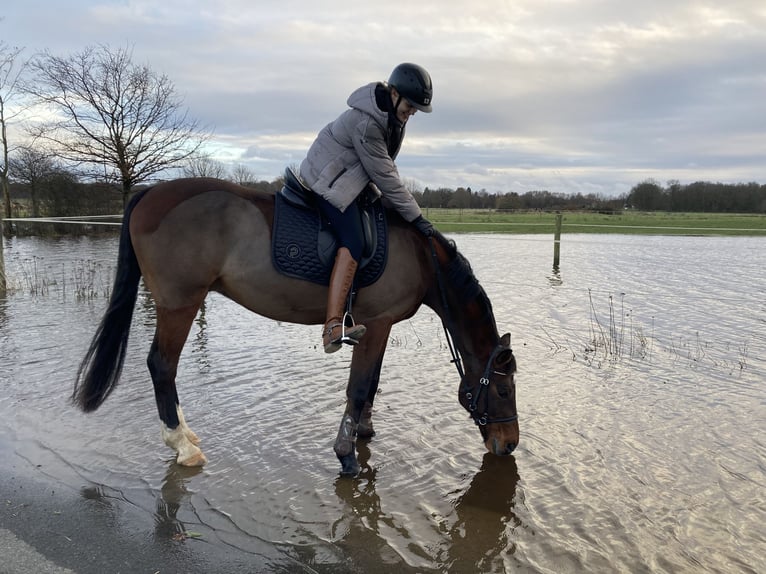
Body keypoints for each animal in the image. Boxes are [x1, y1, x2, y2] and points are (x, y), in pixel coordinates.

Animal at [73, 179, 520, 476]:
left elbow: (372, 383)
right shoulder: (376, 325)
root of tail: (150, 192)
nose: (509, 444)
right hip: (180, 305)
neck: (421, 258)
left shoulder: (380, 327)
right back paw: (182, 444)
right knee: (162, 366)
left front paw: (363, 430)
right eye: (502, 390)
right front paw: (346, 454)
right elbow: (359, 386)